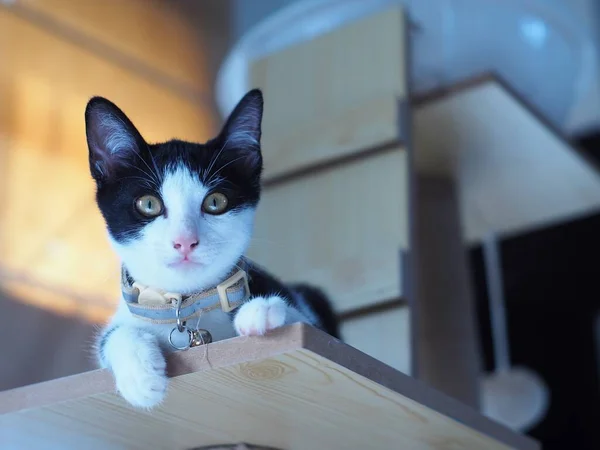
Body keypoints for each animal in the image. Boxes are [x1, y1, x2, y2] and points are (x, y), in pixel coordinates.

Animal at [85, 89, 338, 410]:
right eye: (148, 204)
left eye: (216, 201)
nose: (185, 241)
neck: (187, 308)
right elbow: (112, 335)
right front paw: (141, 377)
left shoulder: (312, 325)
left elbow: (307, 325)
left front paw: (262, 310)